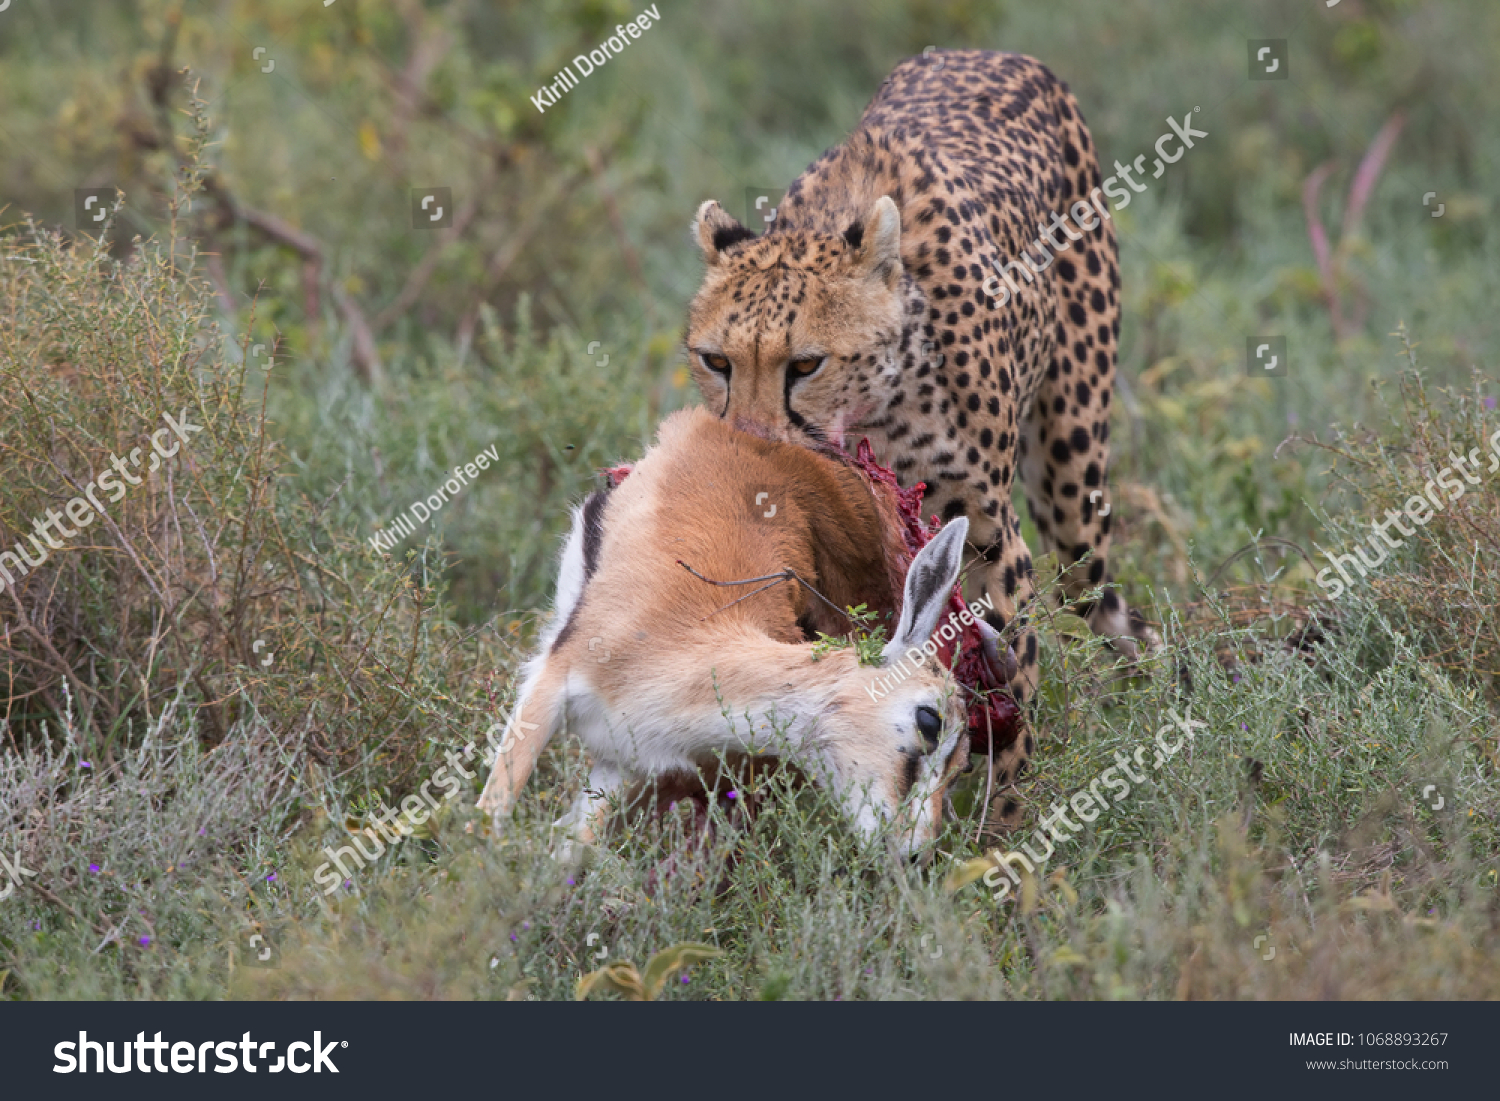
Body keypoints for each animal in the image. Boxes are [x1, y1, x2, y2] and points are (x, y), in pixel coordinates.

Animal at [687, 49, 1152, 822]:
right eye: (716, 361)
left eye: (805, 364)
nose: (747, 445)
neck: (874, 412)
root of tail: (994, 53)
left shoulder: (991, 537)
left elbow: (1007, 695)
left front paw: (998, 832)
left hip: (1071, 486)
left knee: (1104, 601)